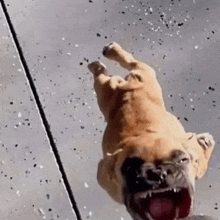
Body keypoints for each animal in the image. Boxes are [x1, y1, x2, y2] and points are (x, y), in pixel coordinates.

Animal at [87, 43, 215, 220]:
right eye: (129, 168)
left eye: (182, 160)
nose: (158, 173)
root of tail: (128, 85)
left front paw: (204, 142)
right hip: (109, 89)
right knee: (122, 66)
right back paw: (104, 59)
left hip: (118, 85)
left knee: (128, 65)